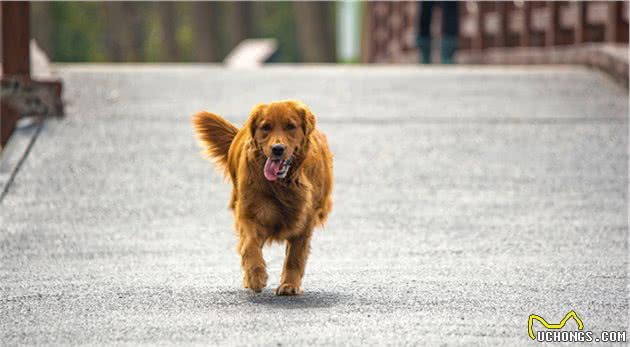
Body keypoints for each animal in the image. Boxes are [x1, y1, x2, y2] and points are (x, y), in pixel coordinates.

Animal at [193, 100, 334, 296]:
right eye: (266, 127)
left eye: (291, 126)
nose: (277, 149)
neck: (284, 183)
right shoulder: (249, 212)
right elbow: (250, 245)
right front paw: (255, 276)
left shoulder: (305, 219)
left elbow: (295, 255)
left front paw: (289, 284)